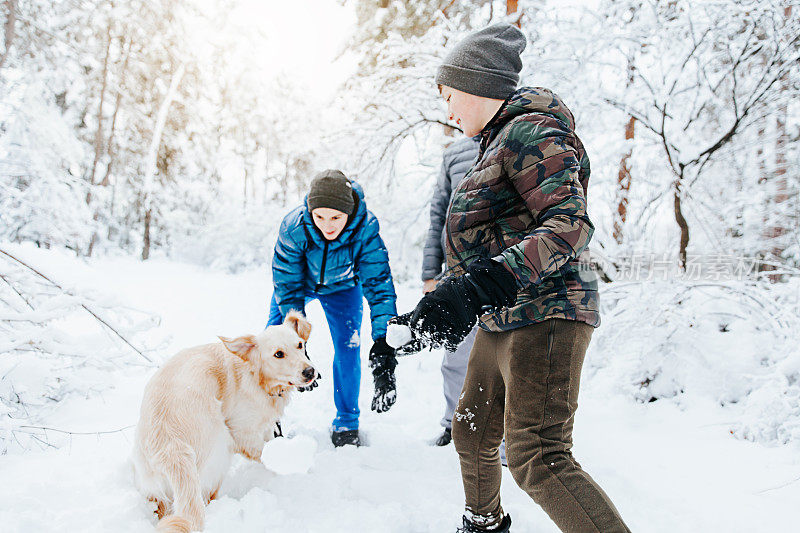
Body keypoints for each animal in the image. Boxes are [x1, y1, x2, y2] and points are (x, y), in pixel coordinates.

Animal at [133, 312, 314, 532]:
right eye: (278, 354)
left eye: (300, 345)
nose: (310, 371)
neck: (256, 376)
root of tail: (170, 447)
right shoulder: (242, 431)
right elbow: (264, 451)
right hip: (221, 446)